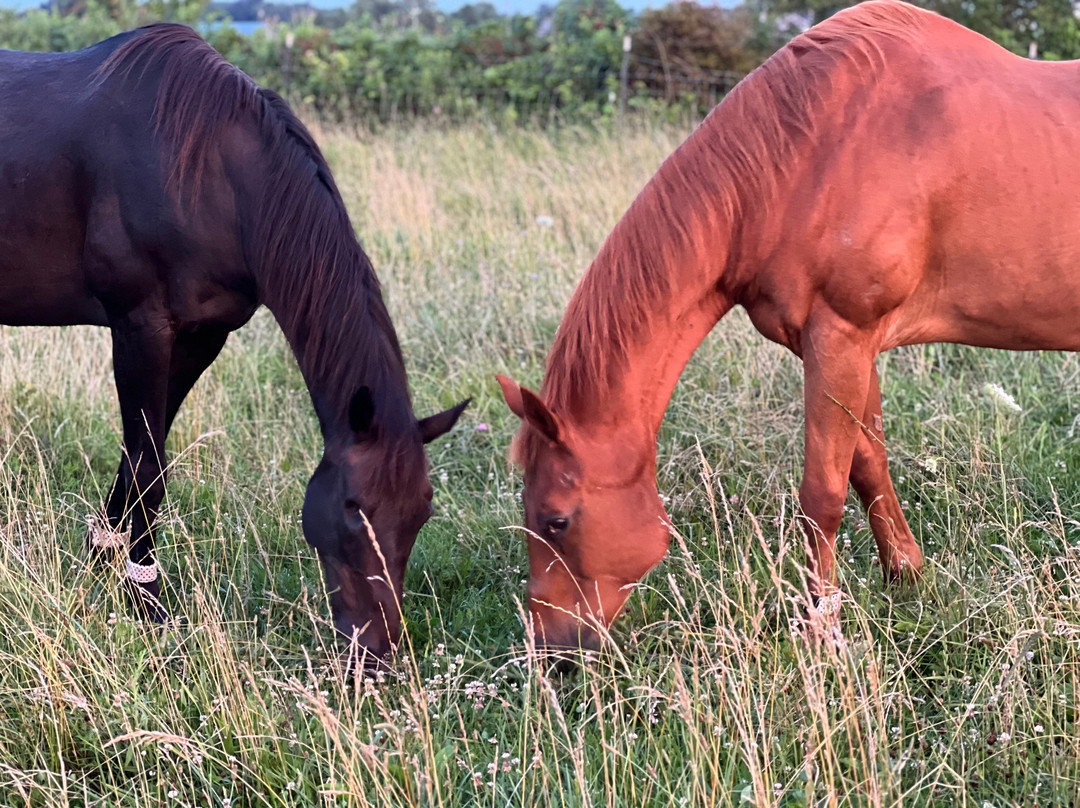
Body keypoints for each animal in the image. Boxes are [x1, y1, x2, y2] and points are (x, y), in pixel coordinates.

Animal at [0, 24, 468, 661]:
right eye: (354, 510)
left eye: (422, 512)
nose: (375, 655)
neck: (206, 170)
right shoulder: (141, 327)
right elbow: (149, 464)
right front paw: (144, 601)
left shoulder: (204, 335)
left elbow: (143, 455)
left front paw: (103, 559)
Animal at [497, 0, 1080, 651]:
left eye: (556, 519)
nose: (552, 651)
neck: (811, 151)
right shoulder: (843, 343)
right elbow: (868, 465)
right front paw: (906, 577)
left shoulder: (842, 336)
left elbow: (822, 495)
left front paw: (820, 627)